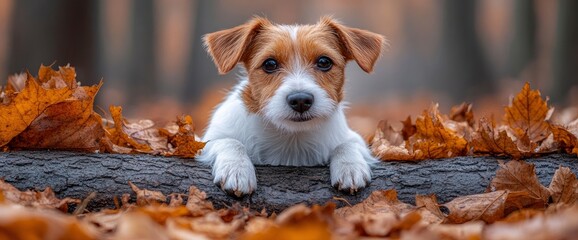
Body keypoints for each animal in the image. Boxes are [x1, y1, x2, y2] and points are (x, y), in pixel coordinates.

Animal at [197, 16, 382, 197]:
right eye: (269, 64)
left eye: (324, 62)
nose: (300, 100)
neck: (291, 137)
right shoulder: (206, 141)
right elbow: (229, 141)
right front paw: (236, 169)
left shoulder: (351, 138)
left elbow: (347, 144)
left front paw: (350, 167)